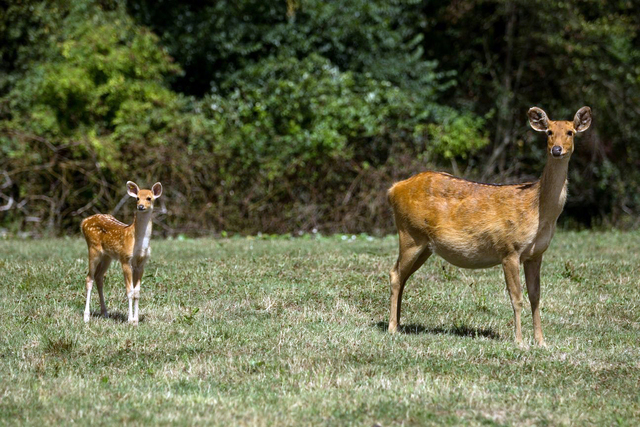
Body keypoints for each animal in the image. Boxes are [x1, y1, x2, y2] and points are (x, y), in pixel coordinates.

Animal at [80, 181, 162, 324]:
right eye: (137, 198)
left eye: (149, 198)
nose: (140, 206)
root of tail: (84, 222)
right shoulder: (125, 259)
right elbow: (129, 291)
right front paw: (130, 320)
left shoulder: (141, 263)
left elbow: (137, 292)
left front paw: (136, 320)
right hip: (93, 248)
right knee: (89, 278)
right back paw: (86, 316)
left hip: (107, 256)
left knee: (99, 277)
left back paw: (105, 313)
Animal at [384, 107, 592, 348]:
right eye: (549, 131)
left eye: (570, 132)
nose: (556, 149)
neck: (537, 209)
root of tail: (393, 189)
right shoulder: (509, 249)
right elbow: (516, 297)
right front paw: (519, 341)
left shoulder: (536, 254)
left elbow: (535, 297)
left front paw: (541, 341)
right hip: (410, 233)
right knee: (395, 274)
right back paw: (391, 328)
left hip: (424, 245)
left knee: (403, 276)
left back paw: (399, 324)